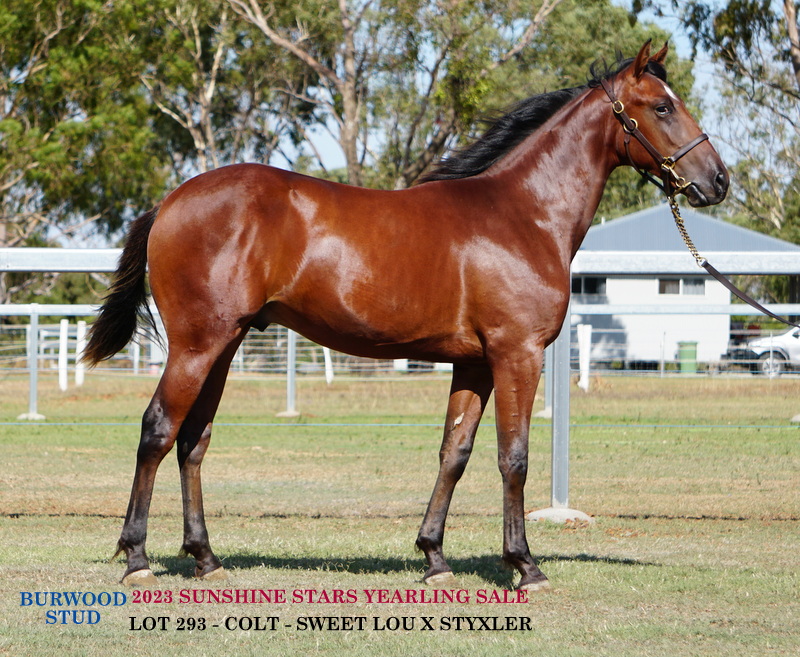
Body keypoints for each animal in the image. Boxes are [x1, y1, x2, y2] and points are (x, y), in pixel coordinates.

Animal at [83, 41, 728, 590]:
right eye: (663, 106)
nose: (717, 181)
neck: (521, 214)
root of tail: (171, 201)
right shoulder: (516, 354)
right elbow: (513, 457)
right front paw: (525, 565)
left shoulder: (474, 364)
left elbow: (455, 454)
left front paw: (434, 556)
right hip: (197, 344)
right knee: (158, 430)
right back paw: (137, 557)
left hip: (225, 343)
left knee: (193, 440)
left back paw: (206, 558)